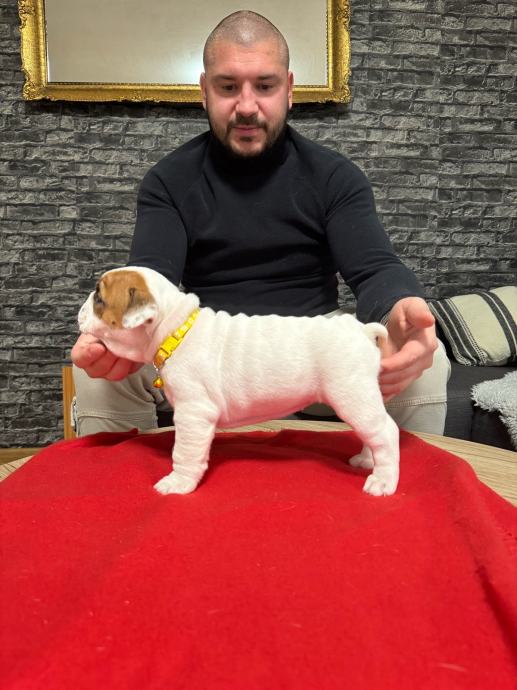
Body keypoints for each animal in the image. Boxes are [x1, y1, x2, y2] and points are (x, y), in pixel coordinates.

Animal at [78, 266, 399, 497]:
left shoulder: (193, 414)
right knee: (373, 432)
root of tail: (361, 330)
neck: (175, 327)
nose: (79, 311)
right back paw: (367, 461)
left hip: (351, 394)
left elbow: (184, 452)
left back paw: (382, 481)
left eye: (99, 298)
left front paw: (178, 482)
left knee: (386, 432)